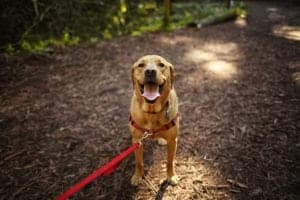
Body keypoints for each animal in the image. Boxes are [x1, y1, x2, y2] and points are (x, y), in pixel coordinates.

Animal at [128, 54, 178, 186]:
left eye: (161, 65)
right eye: (141, 65)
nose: (150, 71)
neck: (152, 112)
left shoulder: (173, 141)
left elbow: (170, 161)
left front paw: (171, 176)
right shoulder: (137, 141)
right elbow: (139, 162)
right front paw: (137, 176)